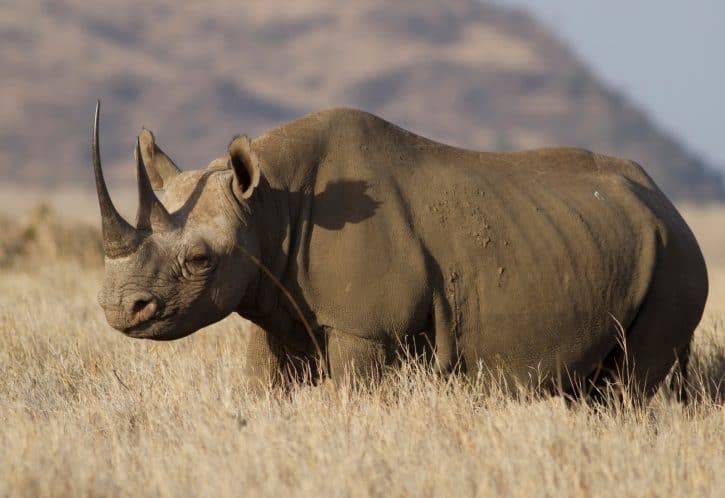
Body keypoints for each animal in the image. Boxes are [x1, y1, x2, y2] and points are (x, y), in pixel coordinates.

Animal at [92, 102, 708, 398]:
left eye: (200, 260)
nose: (120, 310)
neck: (267, 203)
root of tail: (670, 203)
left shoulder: (366, 329)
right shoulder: (275, 305)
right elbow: (265, 389)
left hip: (678, 261)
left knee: (630, 388)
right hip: (621, 243)